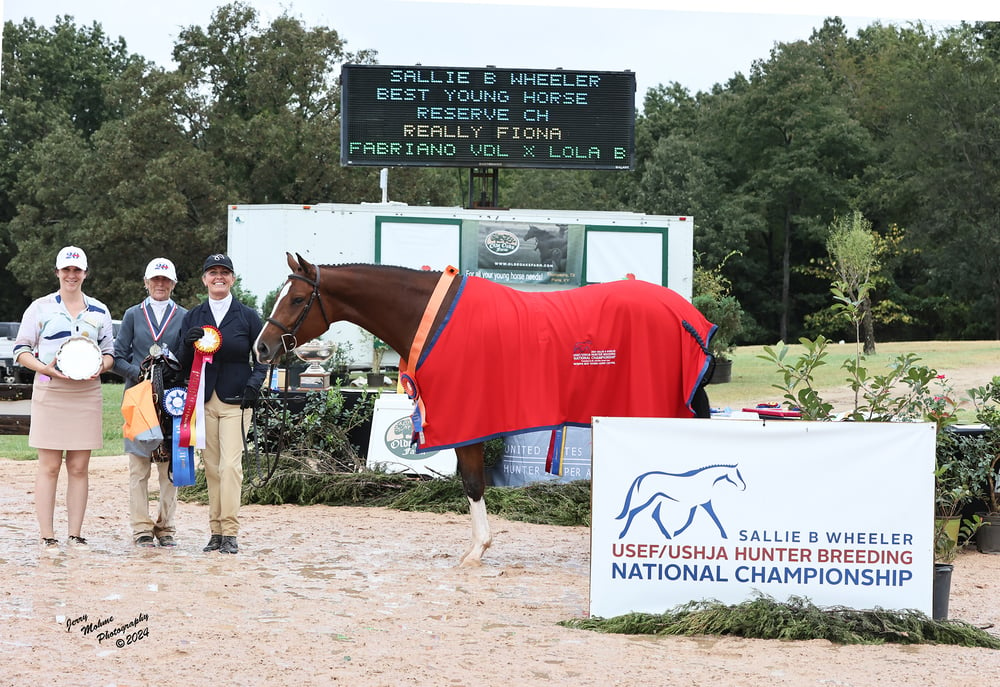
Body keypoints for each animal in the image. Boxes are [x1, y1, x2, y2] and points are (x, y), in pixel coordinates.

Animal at [254, 255, 716, 568]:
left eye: (297, 298)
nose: (261, 347)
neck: (431, 317)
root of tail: (688, 318)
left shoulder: (465, 420)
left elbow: (473, 481)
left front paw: (477, 551)